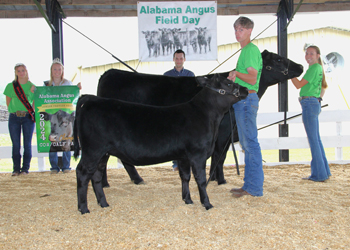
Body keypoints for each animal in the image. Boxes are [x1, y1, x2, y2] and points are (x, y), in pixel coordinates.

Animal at [74, 75, 249, 214]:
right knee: (82, 173)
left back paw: (103, 203)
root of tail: (91, 99)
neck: (207, 117)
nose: (246, 89)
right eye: (228, 83)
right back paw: (83, 208)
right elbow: (200, 179)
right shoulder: (197, 155)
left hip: (103, 153)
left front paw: (187, 200)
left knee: (96, 175)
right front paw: (207, 203)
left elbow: (185, 177)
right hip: (93, 150)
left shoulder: (183, 157)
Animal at [96, 49, 304, 186]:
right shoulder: (223, 132)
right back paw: (120, 181)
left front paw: (214, 178)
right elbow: (220, 156)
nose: (301, 66)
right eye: (278, 59)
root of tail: (110, 72)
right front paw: (219, 180)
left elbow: (218, 156)